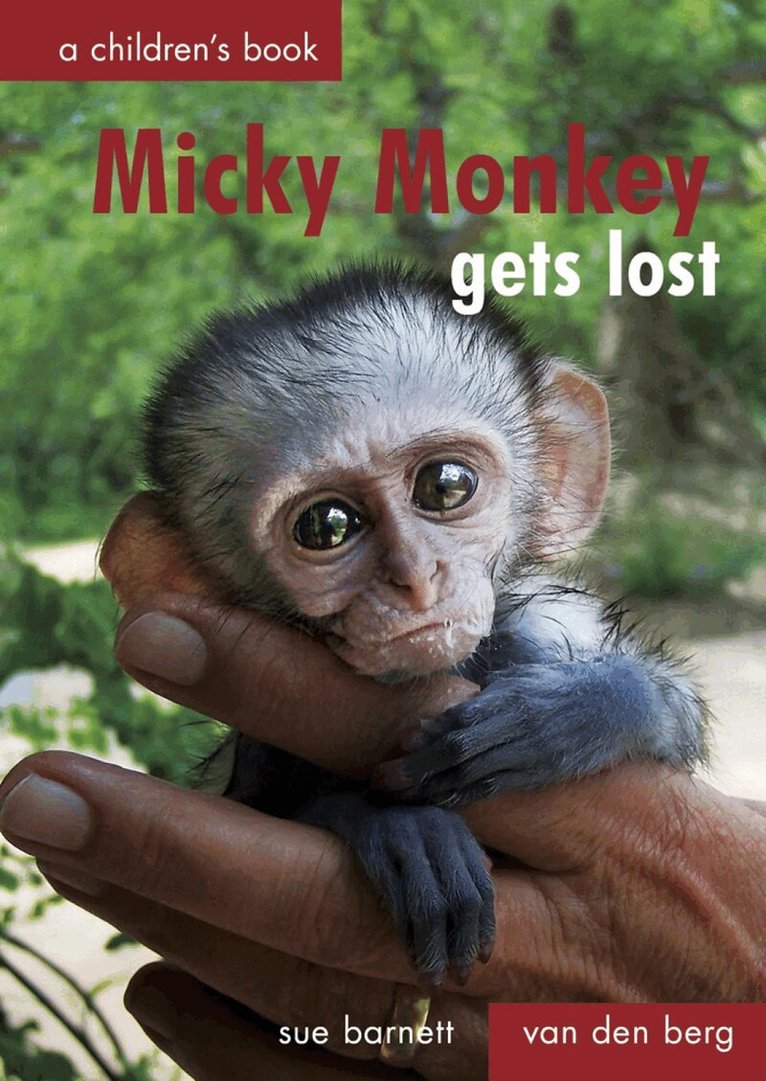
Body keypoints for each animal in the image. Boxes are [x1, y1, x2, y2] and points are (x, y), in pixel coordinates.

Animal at [140, 262, 707, 987]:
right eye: (326, 526)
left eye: (446, 485)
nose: (413, 576)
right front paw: (401, 831)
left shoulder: (547, 622)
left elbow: (675, 713)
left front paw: (570, 715)